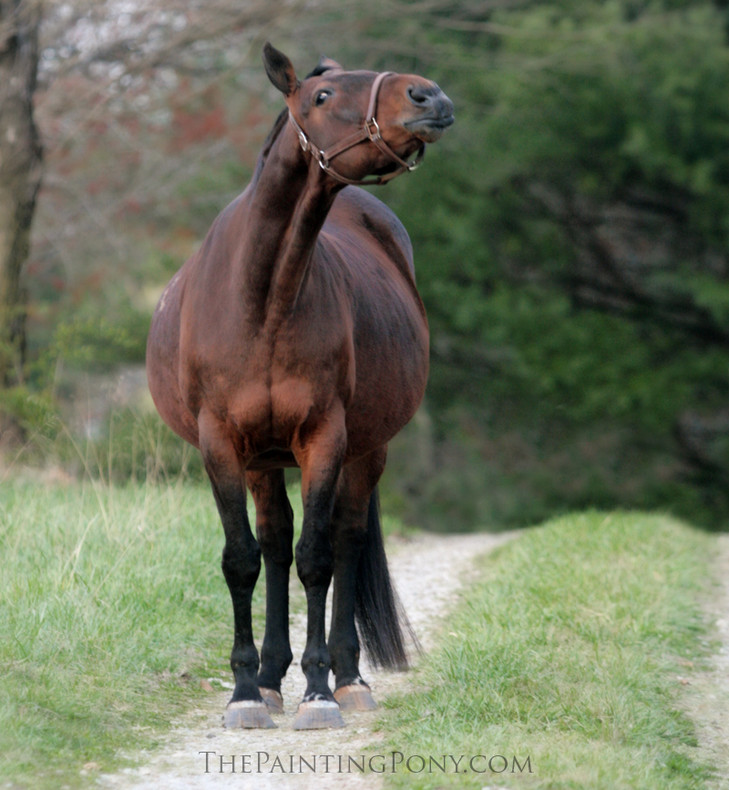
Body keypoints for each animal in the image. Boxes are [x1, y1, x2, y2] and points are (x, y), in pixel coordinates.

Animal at [145, 40, 452, 728]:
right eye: (321, 96)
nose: (430, 96)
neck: (262, 299)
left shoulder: (324, 439)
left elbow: (318, 558)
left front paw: (317, 691)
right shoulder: (222, 445)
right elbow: (243, 559)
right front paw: (243, 691)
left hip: (367, 450)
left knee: (344, 541)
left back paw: (347, 677)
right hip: (263, 460)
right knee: (275, 543)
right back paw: (267, 678)